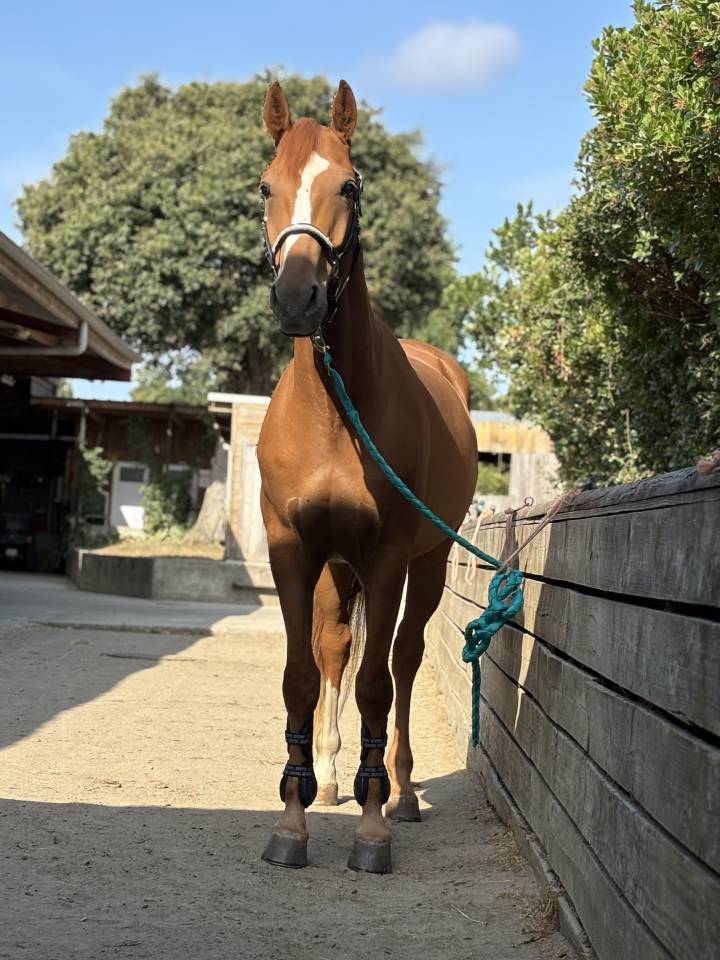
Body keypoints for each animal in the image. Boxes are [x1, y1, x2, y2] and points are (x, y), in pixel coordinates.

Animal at [256, 79, 477, 873]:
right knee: (334, 652)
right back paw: (325, 777)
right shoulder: (294, 552)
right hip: (335, 571)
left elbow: (380, 684)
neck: (333, 413)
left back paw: (403, 792)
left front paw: (373, 828)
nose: (298, 298)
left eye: (348, 184)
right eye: (267, 185)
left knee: (403, 660)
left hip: (428, 564)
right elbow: (299, 676)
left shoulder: (386, 559)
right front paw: (291, 820)